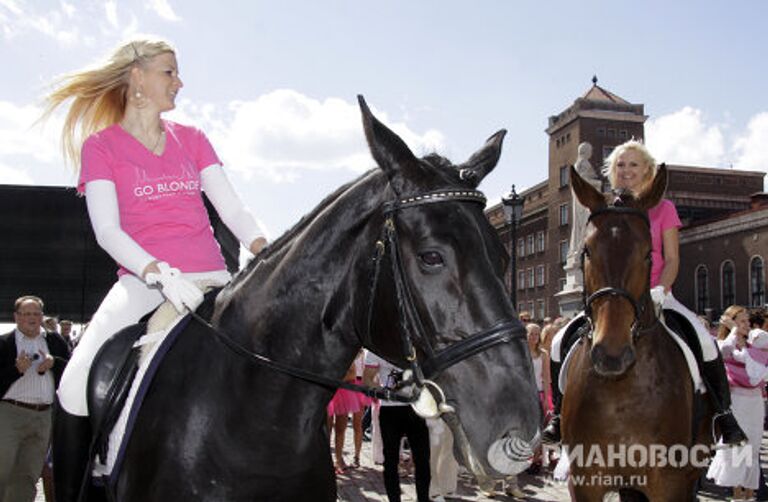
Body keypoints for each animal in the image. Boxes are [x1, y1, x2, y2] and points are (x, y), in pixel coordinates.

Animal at [560, 166, 712, 502]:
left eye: (648, 253)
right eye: (587, 251)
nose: (611, 354)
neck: (621, 392)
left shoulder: (670, 483)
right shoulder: (585, 480)